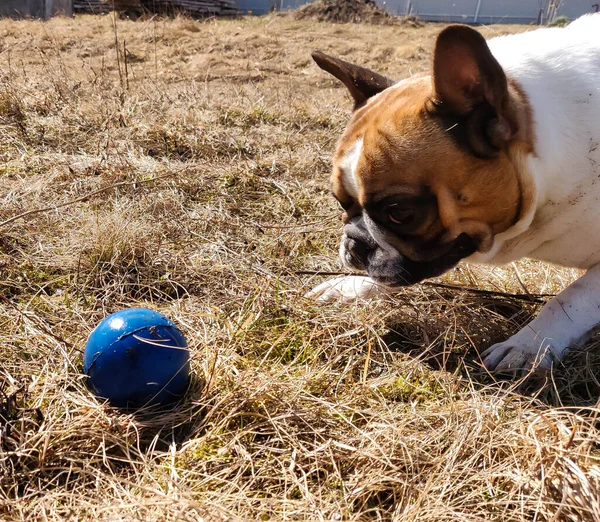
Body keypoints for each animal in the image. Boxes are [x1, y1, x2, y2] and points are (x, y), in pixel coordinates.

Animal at [308, 16, 600, 374]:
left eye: (400, 212)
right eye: (339, 201)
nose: (353, 244)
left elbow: (573, 297)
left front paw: (527, 344)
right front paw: (351, 286)